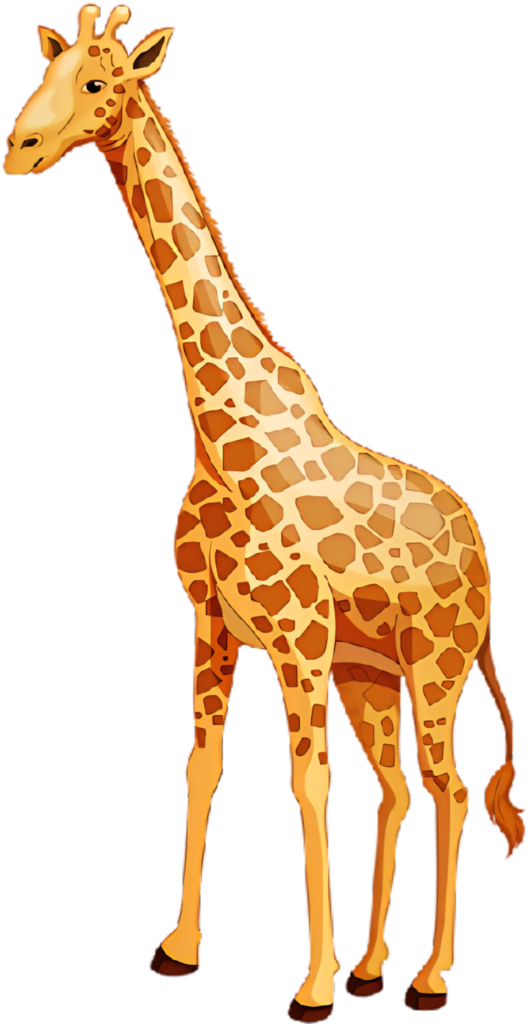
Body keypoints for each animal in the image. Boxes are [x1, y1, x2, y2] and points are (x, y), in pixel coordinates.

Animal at [4, 6, 525, 1019]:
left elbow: (306, 783)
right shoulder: (211, 622)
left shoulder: (298, 634)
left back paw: (429, 975)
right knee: (400, 790)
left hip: (436, 664)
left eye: (99, 83)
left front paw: (310, 983)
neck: (216, 427)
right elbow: (204, 767)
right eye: (45, 72)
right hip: (372, 679)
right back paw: (375, 965)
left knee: (449, 786)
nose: (20, 148)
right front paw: (181, 947)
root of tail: (482, 551)